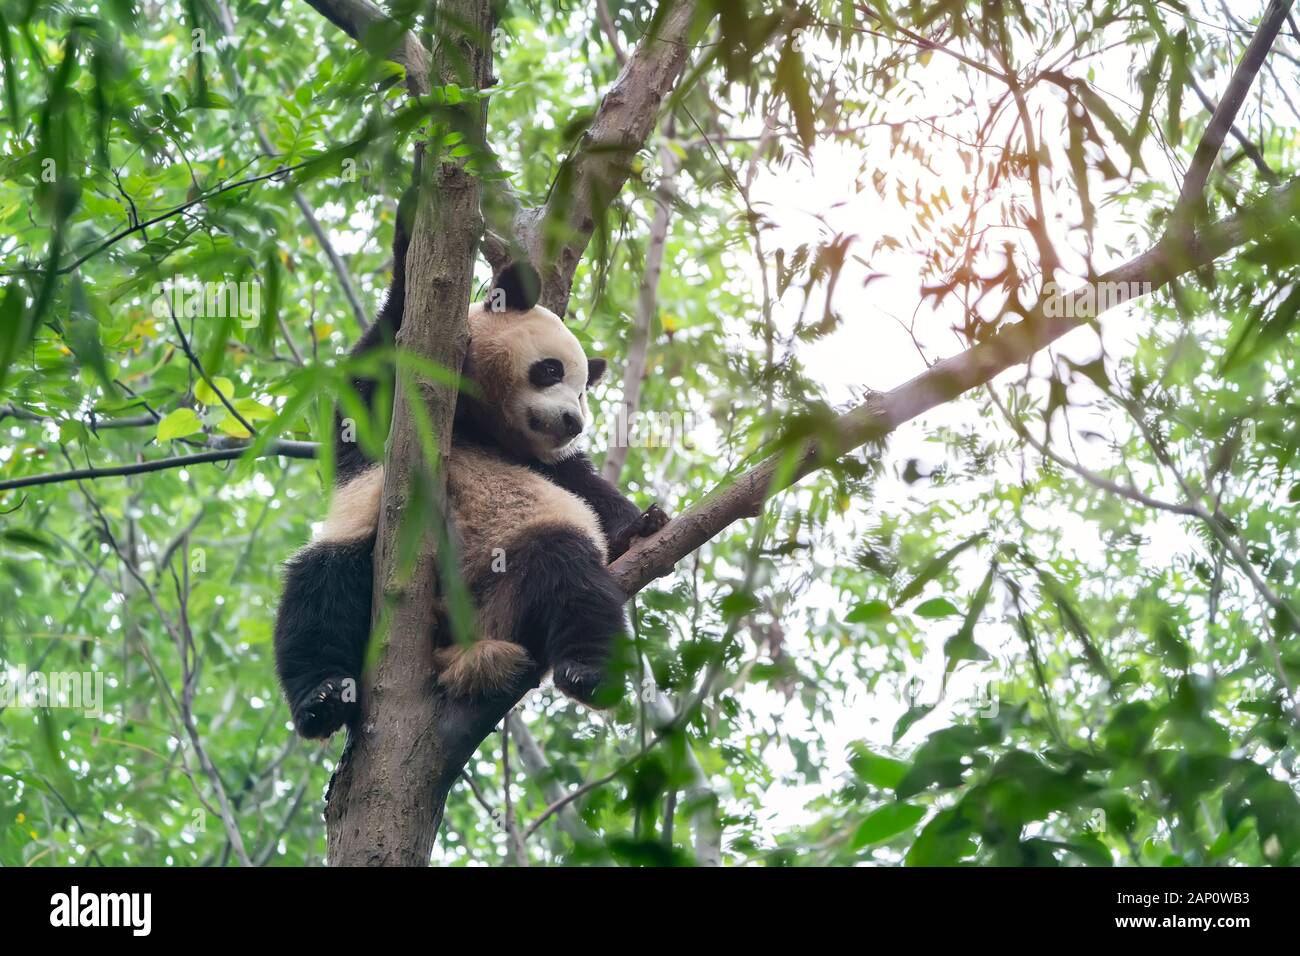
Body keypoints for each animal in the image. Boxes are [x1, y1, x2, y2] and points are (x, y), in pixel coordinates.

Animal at [269, 191, 665, 738]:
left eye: (584, 392)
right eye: (551, 370)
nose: (572, 422)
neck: (475, 420)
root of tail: (467, 642)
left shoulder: (539, 459)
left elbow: (585, 488)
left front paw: (643, 522)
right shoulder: (390, 384)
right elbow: (374, 371)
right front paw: (413, 219)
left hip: (524, 552)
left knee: (574, 579)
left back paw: (587, 673)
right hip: (365, 540)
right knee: (319, 589)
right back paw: (323, 699)